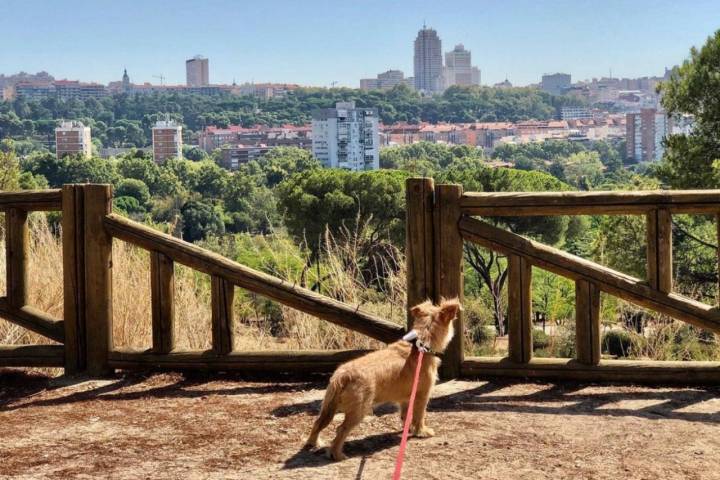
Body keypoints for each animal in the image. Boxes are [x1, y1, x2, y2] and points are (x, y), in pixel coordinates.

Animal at [304, 298, 462, 460]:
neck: (420, 344)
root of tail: (343, 375)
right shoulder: (422, 395)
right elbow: (419, 416)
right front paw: (421, 431)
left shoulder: (405, 398)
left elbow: (405, 416)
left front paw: (408, 429)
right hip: (358, 411)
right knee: (340, 430)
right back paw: (337, 454)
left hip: (329, 407)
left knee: (318, 423)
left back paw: (313, 443)